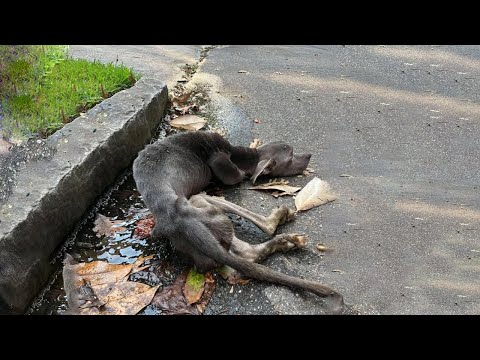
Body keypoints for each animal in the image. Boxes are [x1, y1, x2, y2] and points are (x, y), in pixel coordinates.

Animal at [131, 131, 344, 314]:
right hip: (199, 199)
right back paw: (283, 225)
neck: (242, 155)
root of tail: (173, 219)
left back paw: (285, 241)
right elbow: (235, 174)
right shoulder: (220, 160)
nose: (309, 155)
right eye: (291, 156)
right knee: (256, 242)